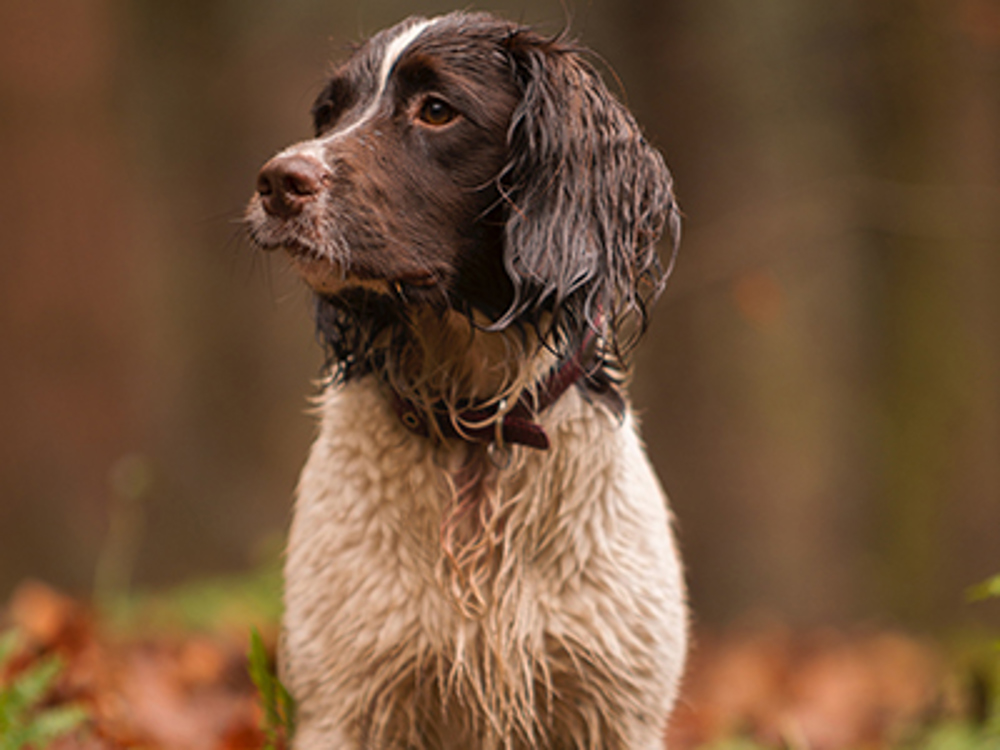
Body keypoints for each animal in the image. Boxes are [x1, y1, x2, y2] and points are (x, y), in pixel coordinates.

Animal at [248, 13, 688, 750]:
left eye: (436, 111)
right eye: (330, 112)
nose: (278, 181)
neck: (474, 429)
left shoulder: (615, 706)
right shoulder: (342, 702)